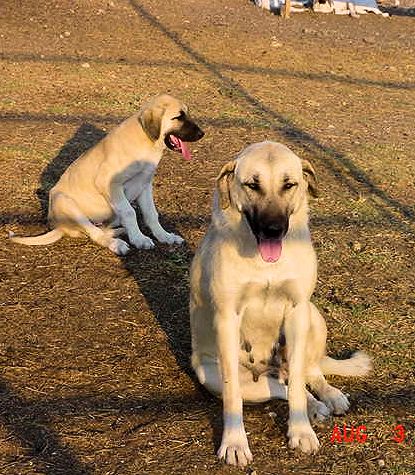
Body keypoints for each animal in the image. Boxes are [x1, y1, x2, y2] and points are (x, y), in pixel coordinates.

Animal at [9, 94, 205, 255]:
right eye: (178, 117)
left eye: (187, 114)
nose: (202, 134)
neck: (146, 141)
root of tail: (60, 227)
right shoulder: (109, 183)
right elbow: (130, 212)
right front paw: (139, 239)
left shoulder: (145, 185)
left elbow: (151, 213)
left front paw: (164, 236)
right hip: (65, 202)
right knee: (94, 233)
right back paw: (116, 243)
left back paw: (120, 232)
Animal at [190, 142, 372, 468]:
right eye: (252, 185)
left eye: (289, 185)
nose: (274, 229)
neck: (265, 263)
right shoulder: (227, 319)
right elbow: (234, 396)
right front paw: (234, 442)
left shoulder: (298, 310)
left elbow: (299, 383)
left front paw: (301, 431)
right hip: (212, 376)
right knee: (279, 387)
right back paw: (315, 404)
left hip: (314, 316)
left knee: (307, 373)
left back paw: (329, 396)